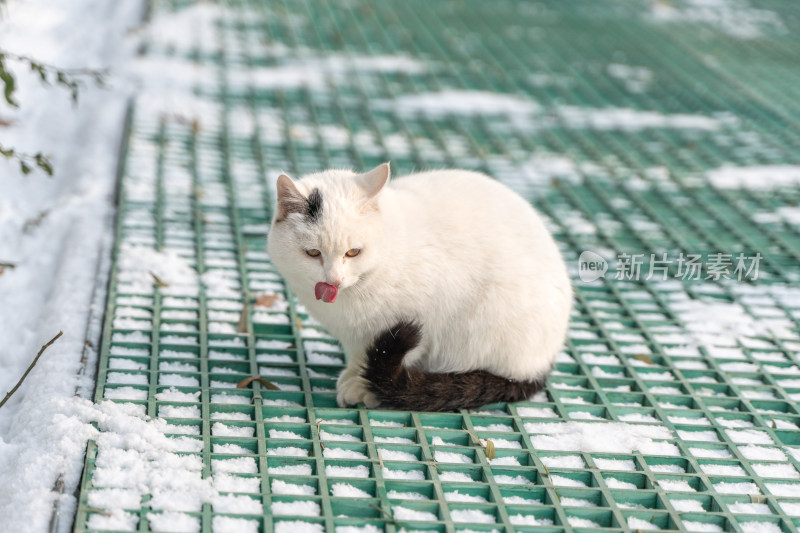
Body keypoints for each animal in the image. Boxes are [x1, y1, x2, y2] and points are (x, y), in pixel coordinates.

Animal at [270, 162, 576, 412]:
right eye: (313, 253)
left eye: (353, 252)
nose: (333, 281)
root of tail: (542, 364)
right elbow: (362, 353)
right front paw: (356, 375)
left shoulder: (425, 314)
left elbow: (393, 351)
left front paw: (364, 387)